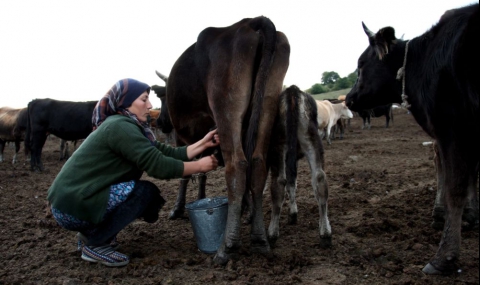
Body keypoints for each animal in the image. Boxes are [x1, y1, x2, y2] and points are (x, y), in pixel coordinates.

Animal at [159, 16, 290, 264]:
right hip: (268, 101)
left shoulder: (181, 138)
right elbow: (201, 172)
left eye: (160, 99)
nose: (161, 122)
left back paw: (226, 247)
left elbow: (185, 172)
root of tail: (252, 21)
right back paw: (259, 240)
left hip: (226, 105)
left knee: (237, 166)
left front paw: (178, 209)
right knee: (257, 165)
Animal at [266, 84, 330, 246]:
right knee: (319, 177)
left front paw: (293, 214)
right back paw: (326, 232)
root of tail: (292, 91)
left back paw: (272, 233)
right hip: (312, 140)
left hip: (278, 146)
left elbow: (290, 183)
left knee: (279, 182)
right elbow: (292, 182)